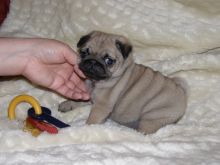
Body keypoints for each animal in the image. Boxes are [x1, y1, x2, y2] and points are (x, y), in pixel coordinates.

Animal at [58, 31, 186, 134]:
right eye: (84, 53)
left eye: (109, 61)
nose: (93, 62)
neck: (95, 82)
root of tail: (181, 91)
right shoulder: (89, 96)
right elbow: (79, 100)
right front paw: (68, 104)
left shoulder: (101, 107)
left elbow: (92, 120)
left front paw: (86, 129)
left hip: (152, 116)